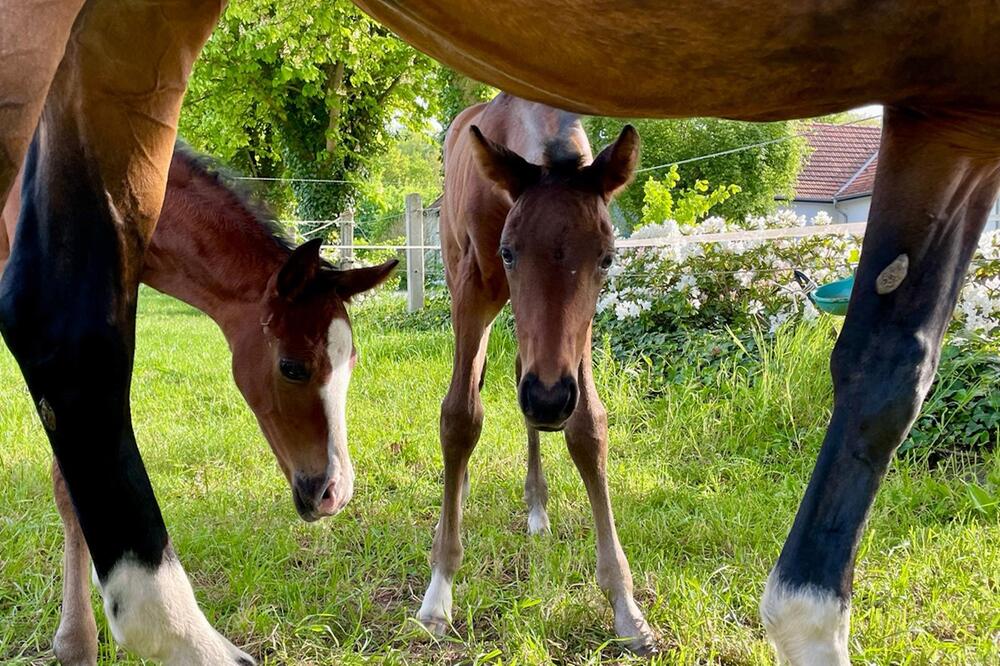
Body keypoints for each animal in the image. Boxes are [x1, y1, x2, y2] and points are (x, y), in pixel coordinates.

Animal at [414, 93, 656, 652]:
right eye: (508, 252)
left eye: (607, 259)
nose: (548, 400)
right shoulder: (471, 290)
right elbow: (460, 418)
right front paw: (439, 589)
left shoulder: (576, 339)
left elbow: (588, 427)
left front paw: (624, 604)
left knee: (521, 379)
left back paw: (537, 508)